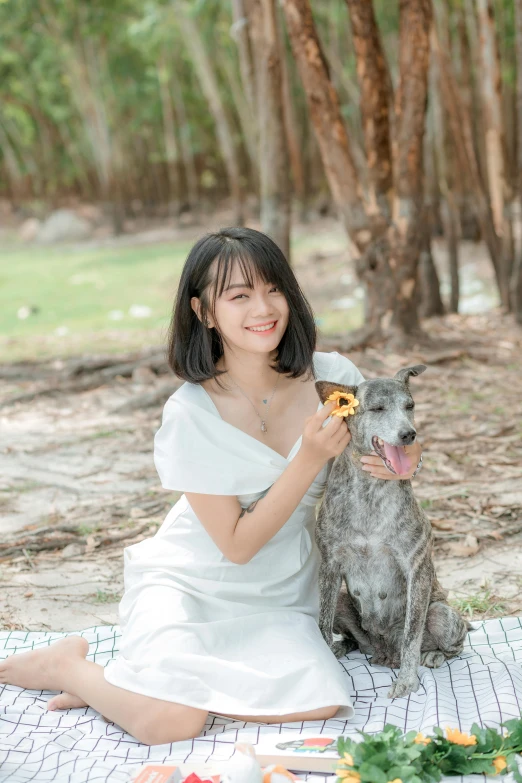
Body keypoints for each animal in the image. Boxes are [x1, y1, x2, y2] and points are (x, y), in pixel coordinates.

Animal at [312, 364, 472, 700]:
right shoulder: (330, 566)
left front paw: (407, 680)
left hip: (442, 615)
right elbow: (322, 623)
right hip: (344, 599)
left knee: (453, 643)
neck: (370, 491)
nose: (409, 434)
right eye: (377, 409)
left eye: (409, 406)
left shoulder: (416, 568)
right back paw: (344, 647)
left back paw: (434, 654)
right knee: (355, 637)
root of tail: (383, 653)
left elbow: (411, 634)